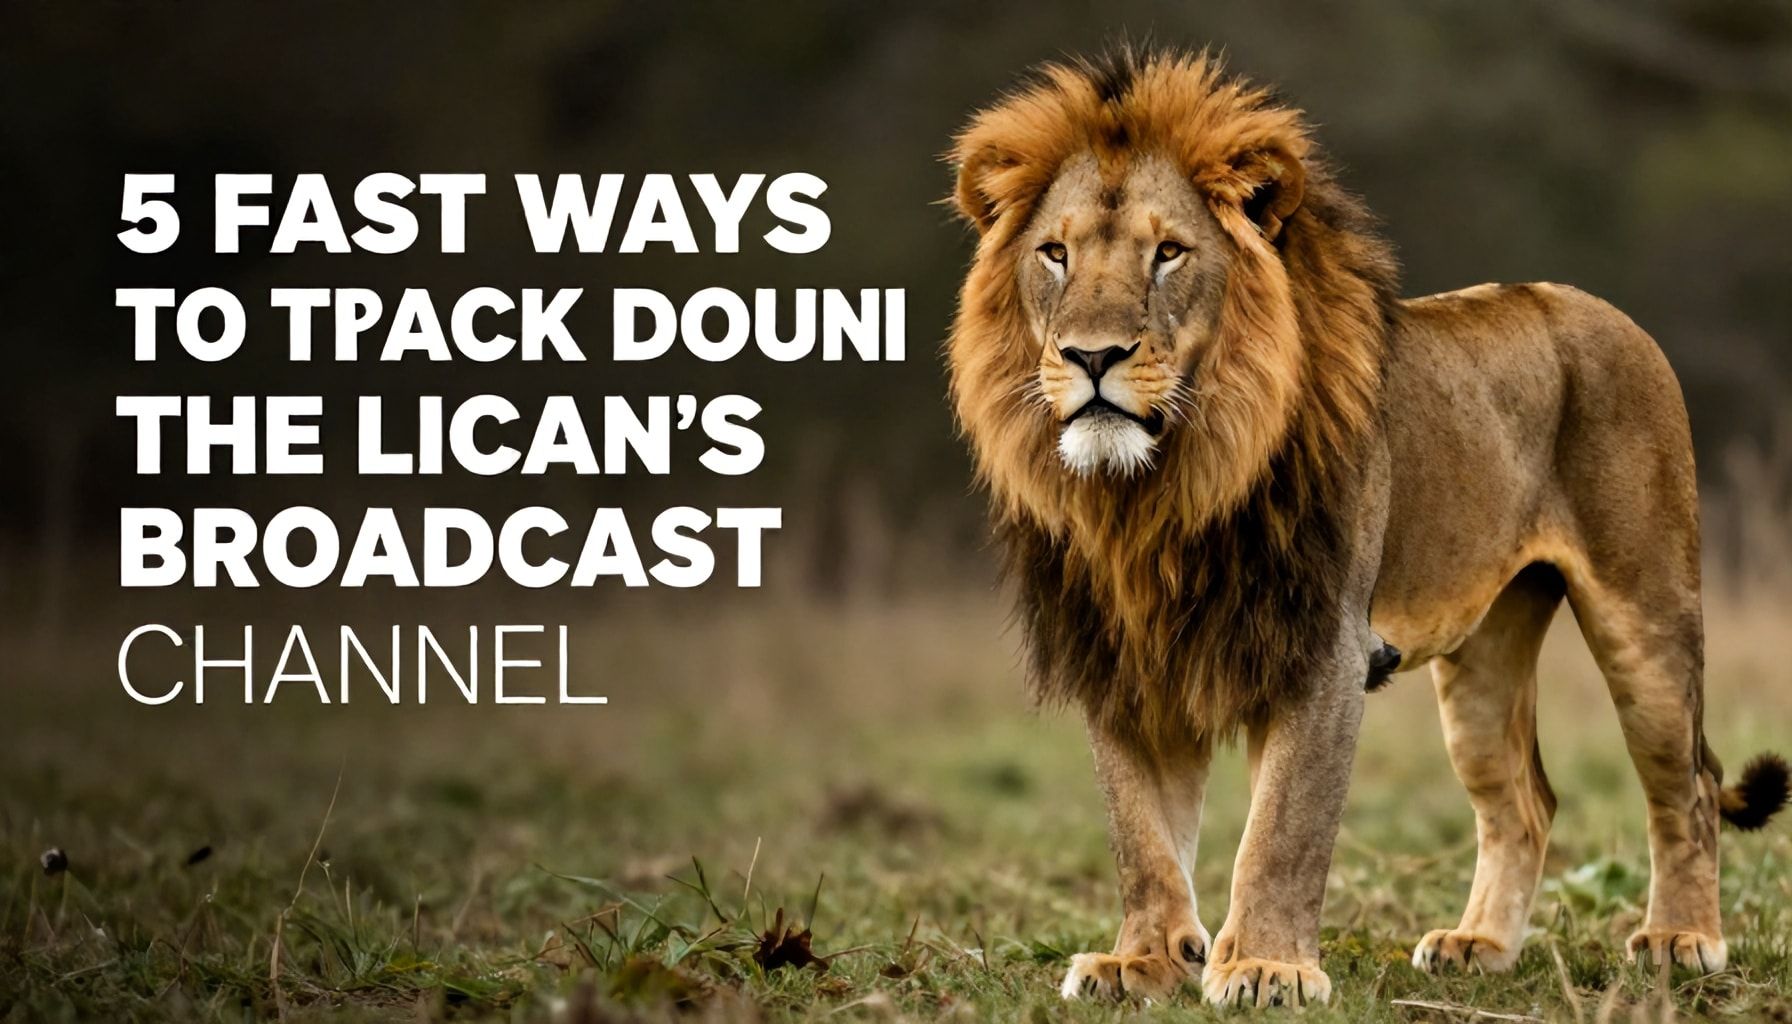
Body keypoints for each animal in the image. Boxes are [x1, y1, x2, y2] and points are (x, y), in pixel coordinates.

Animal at [945, 47, 1789, 1007]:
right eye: (1055, 253)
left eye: (1168, 253)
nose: (1092, 356)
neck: (1155, 492)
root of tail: (1598, 306)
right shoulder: (1123, 655)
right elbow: (1141, 835)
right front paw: (1144, 961)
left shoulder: (1323, 646)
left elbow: (1283, 827)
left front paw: (1266, 967)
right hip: (1485, 652)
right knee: (1525, 801)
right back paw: (1477, 945)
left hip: (1645, 615)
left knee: (1691, 785)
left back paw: (1682, 940)